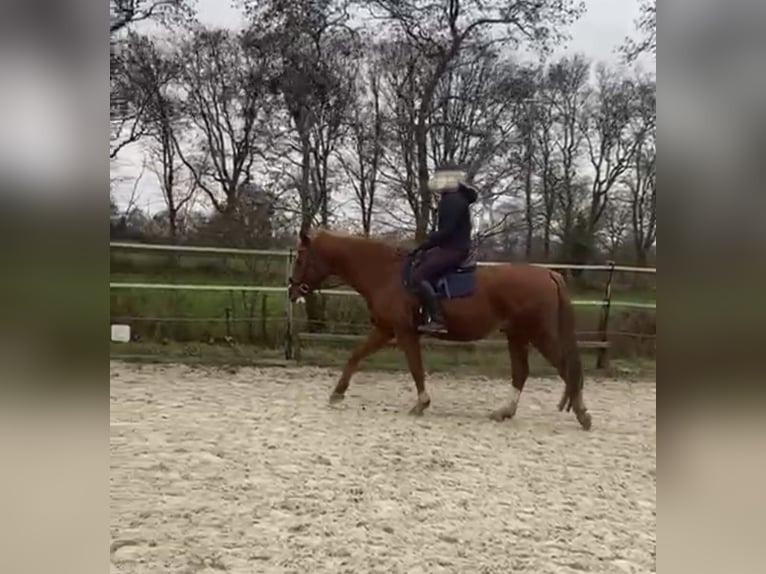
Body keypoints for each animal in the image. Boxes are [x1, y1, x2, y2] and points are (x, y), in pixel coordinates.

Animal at [287, 228, 592, 430]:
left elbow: (415, 367)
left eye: (300, 258)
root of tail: (548, 273)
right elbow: (356, 355)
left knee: (565, 369)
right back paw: (504, 412)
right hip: (518, 335)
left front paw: (421, 403)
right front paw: (337, 393)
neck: (386, 274)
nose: (292, 290)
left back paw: (582, 414)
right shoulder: (385, 330)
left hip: (537, 334)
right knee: (522, 372)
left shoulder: (404, 332)